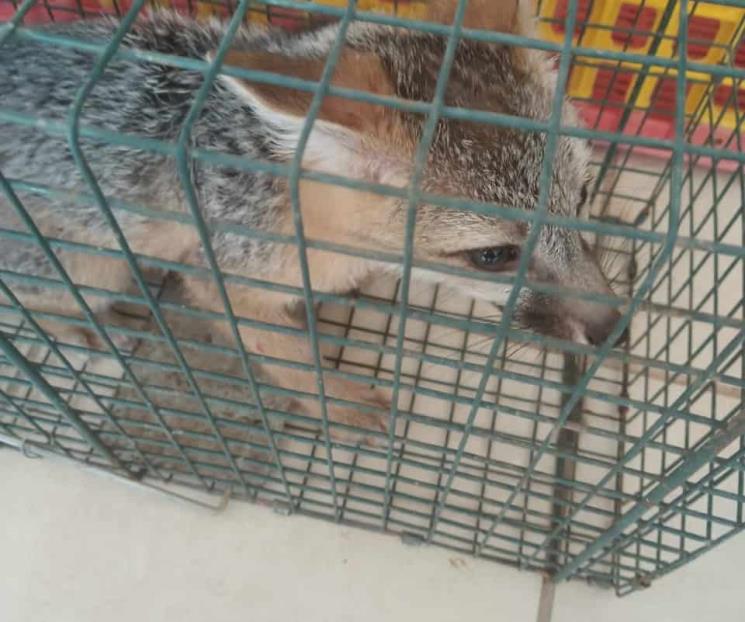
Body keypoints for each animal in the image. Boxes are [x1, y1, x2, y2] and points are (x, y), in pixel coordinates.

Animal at [0, 0, 625, 442]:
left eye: (583, 194)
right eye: (492, 257)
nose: (612, 329)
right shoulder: (219, 279)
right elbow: (293, 359)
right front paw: (343, 402)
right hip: (95, 267)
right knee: (32, 302)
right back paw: (81, 331)